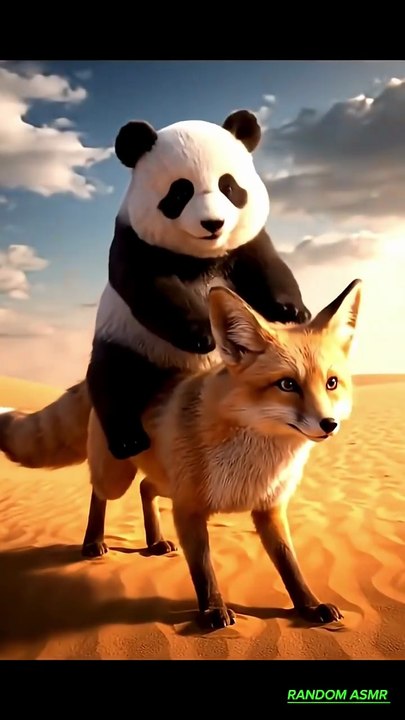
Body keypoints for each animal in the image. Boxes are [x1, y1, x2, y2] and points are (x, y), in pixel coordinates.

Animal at [87, 109, 311, 461]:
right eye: (180, 192)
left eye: (229, 186)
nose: (213, 223)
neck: (203, 256)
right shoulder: (134, 243)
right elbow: (152, 291)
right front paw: (202, 333)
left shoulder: (246, 243)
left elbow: (270, 268)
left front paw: (292, 310)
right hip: (129, 341)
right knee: (113, 378)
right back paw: (128, 440)